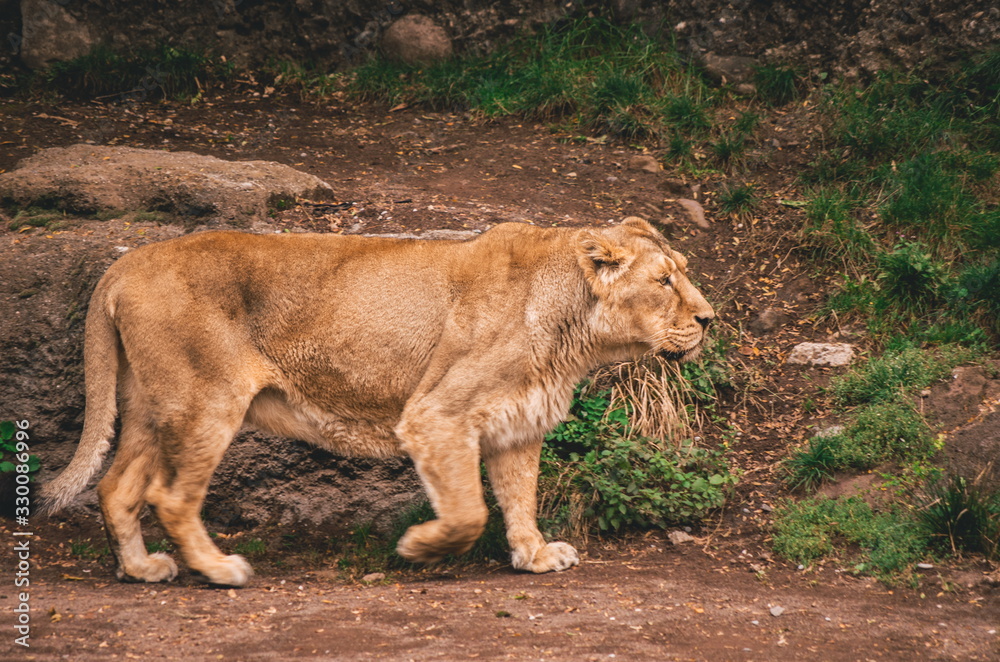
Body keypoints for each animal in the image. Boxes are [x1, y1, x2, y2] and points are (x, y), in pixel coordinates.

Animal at [40, 217, 714, 586]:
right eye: (664, 281)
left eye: (683, 271)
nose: (709, 319)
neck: (571, 328)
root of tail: (125, 263)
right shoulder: (436, 414)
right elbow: (469, 511)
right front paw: (417, 547)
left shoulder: (517, 422)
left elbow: (519, 496)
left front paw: (535, 556)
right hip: (204, 403)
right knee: (170, 497)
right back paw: (219, 570)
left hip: (152, 406)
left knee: (117, 487)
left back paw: (140, 570)